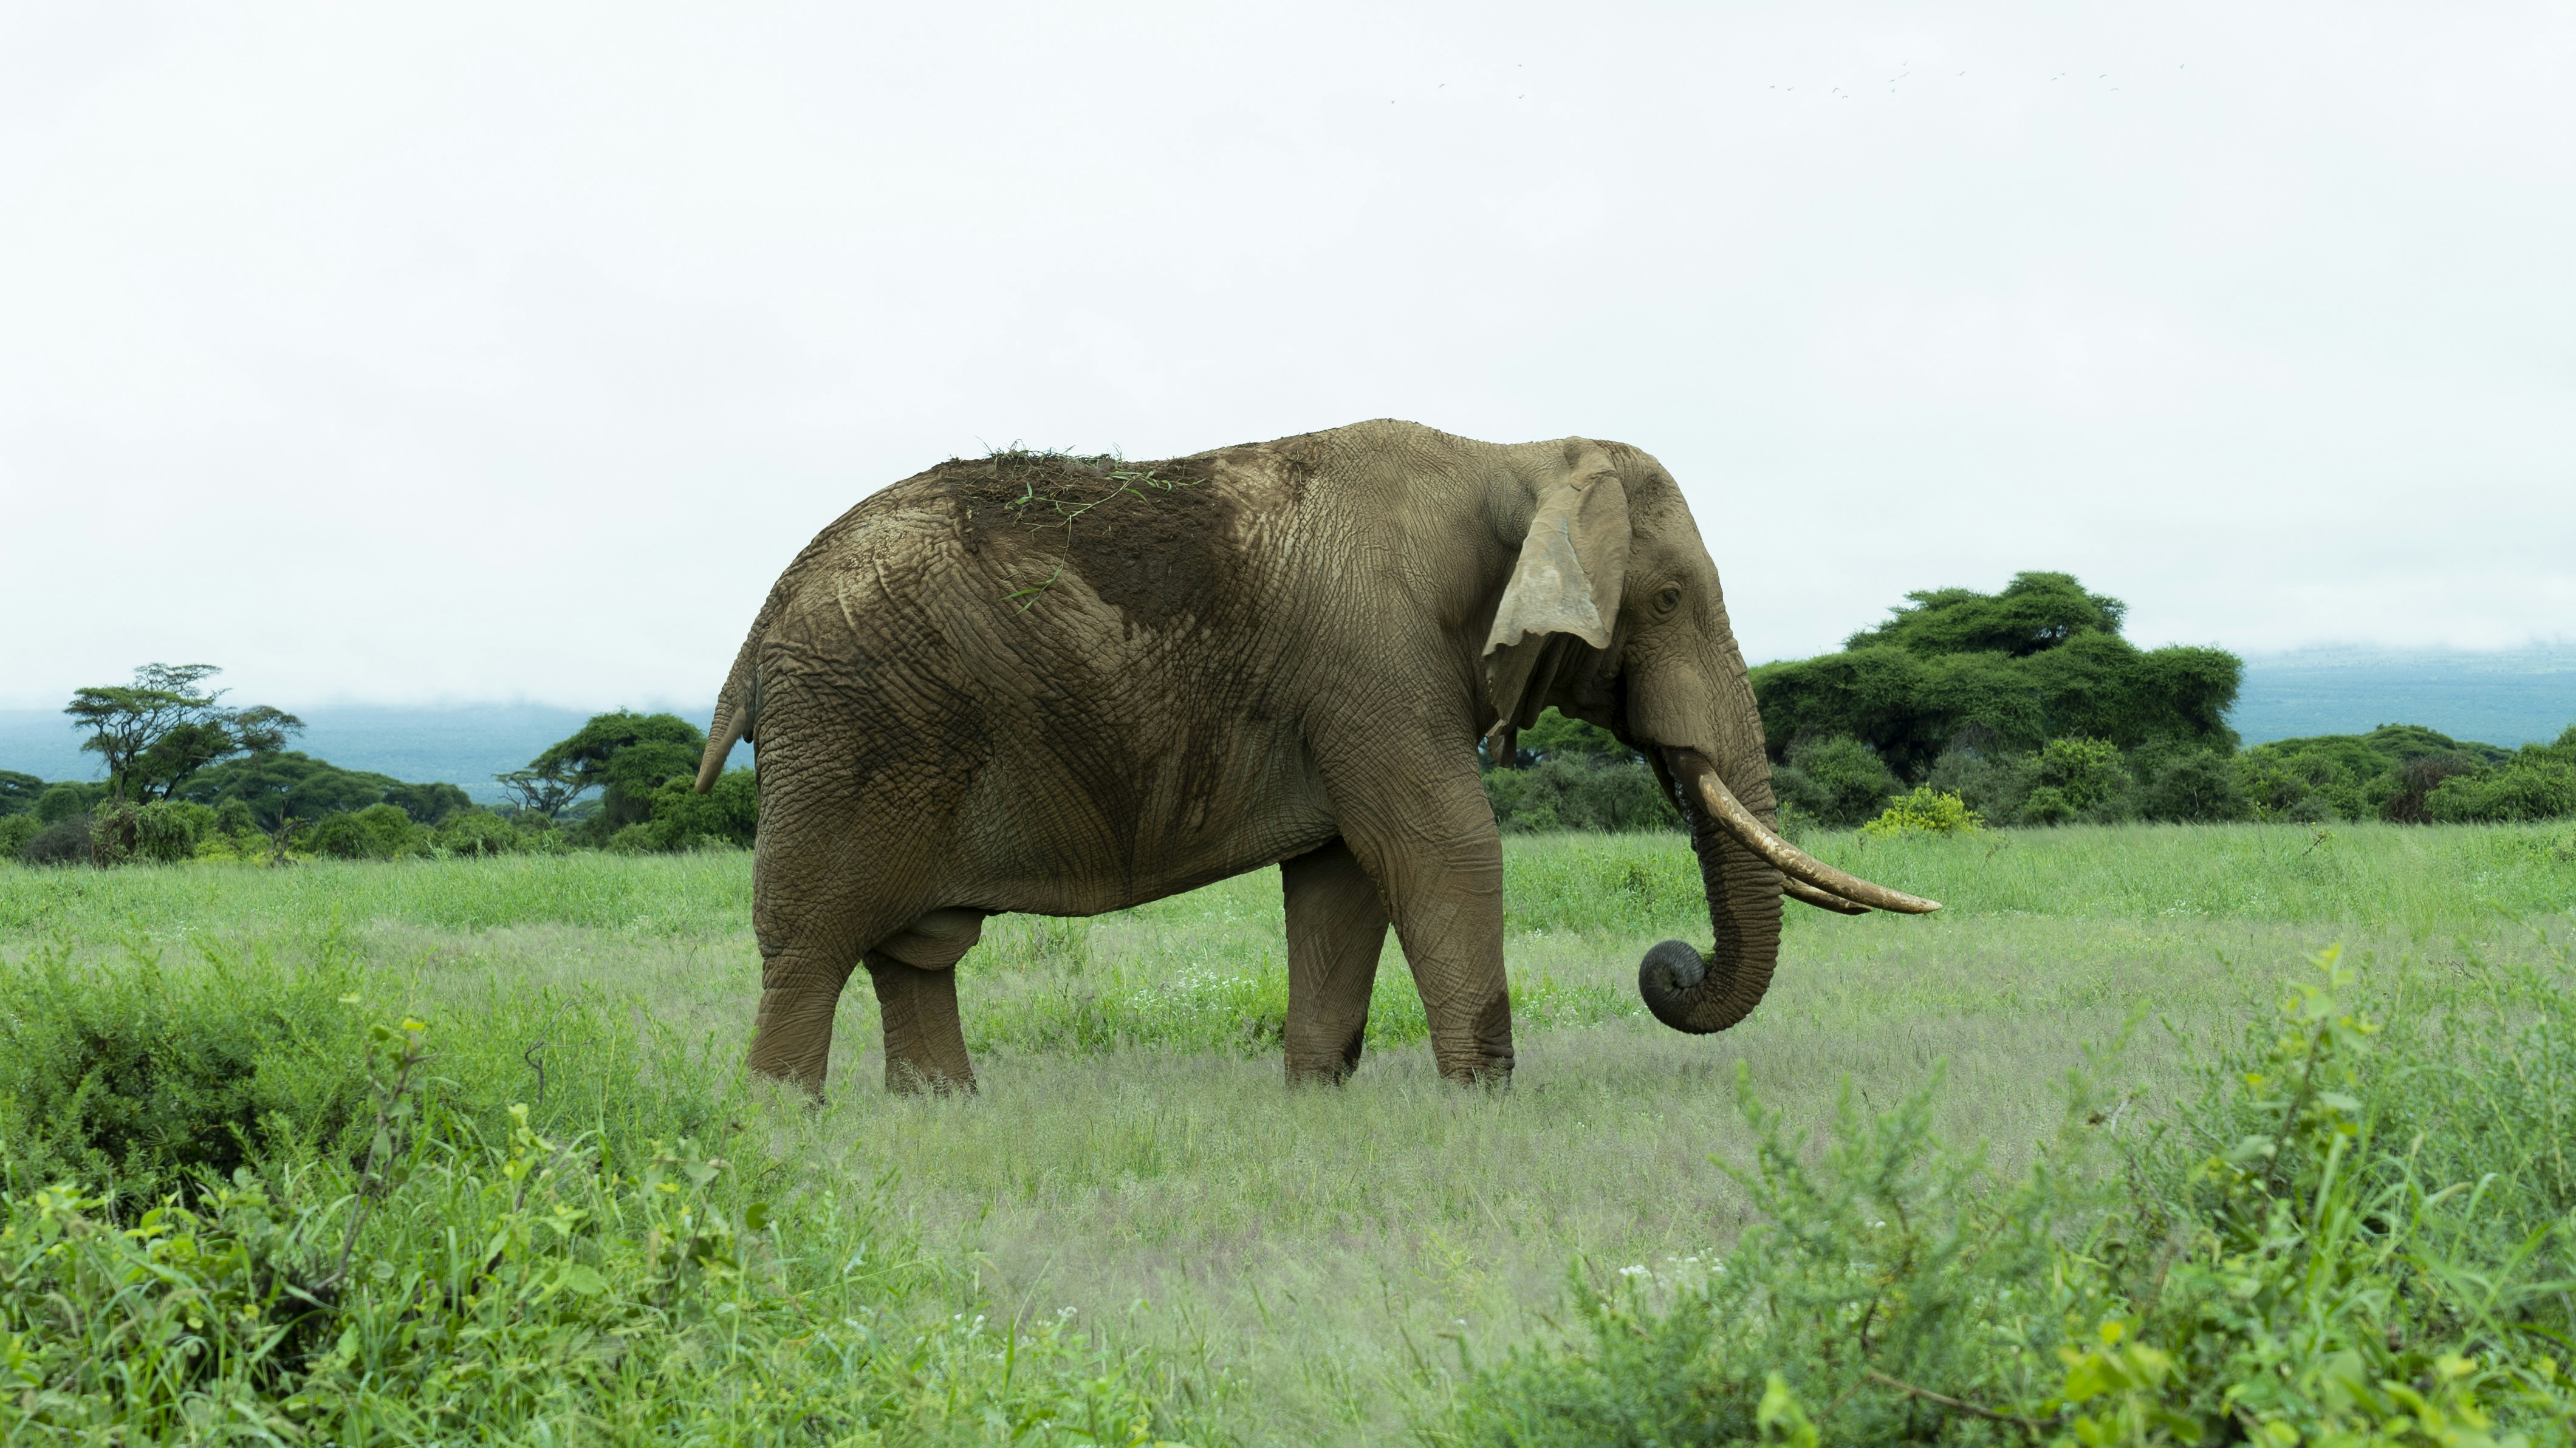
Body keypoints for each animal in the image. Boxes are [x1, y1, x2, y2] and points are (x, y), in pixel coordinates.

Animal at [693, 420, 1936, 1097]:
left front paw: (1315, 1099)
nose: (1669, 965)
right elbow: (1441, 849)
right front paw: (1483, 1106)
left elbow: (1342, 880)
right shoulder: (1374, 663)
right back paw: (785, 1132)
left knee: (915, 952)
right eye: (1669, 599)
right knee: (808, 948)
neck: (1516, 456)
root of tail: (759, 624)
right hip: (858, 729)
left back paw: (944, 1114)